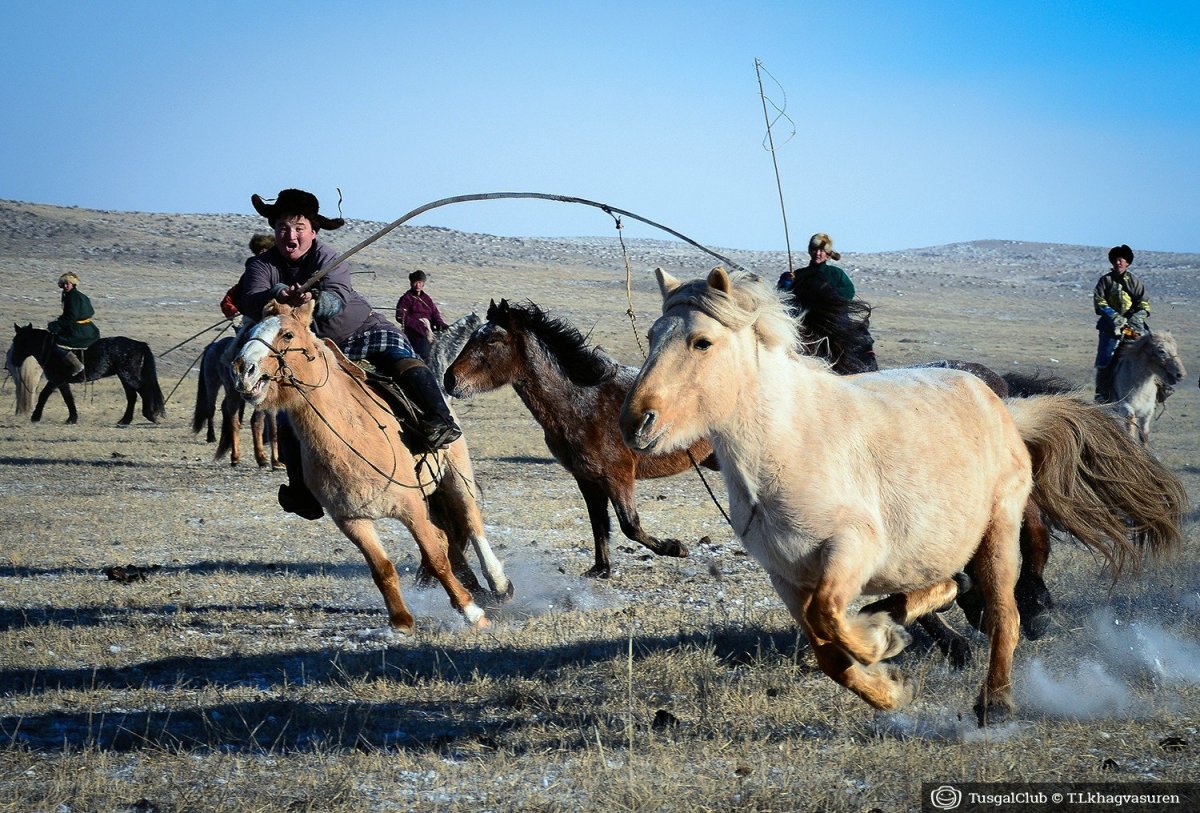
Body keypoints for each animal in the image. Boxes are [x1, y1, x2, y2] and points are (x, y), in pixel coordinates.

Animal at [8, 323, 166, 426]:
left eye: (22, 340)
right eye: (15, 340)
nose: (14, 360)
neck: (50, 350)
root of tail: (139, 344)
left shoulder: (56, 380)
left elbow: (44, 395)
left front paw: (35, 417)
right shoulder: (61, 382)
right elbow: (68, 398)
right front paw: (72, 418)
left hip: (128, 375)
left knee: (143, 391)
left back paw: (150, 416)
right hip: (124, 377)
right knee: (132, 396)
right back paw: (125, 420)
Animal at [624, 268, 1185, 724]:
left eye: (701, 342)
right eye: (651, 336)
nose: (636, 423)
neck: (788, 445)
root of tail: (1005, 407)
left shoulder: (851, 548)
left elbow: (829, 616)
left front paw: (881, 642)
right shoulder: (786, 574)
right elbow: (827, 651)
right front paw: (893, 687)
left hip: (999, 531)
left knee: (1005, 614)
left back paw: (995, 703)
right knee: (949, 586)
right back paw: (905, 614)